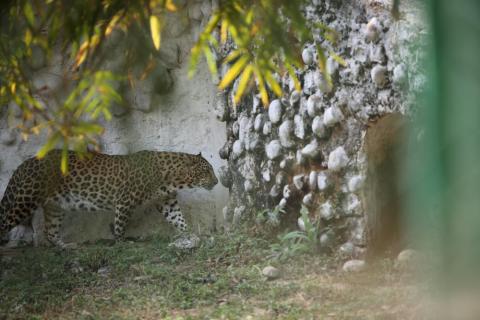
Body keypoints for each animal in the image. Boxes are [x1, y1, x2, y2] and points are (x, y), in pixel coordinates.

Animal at [0, 149, 218, 249]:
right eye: (206, 171)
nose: (216, 181)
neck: (172, 179)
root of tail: (25, 164)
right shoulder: (125, 200)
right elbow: (120, 225)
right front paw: (122, 243)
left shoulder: (167, 201)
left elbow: (178, 219)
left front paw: (191, 234)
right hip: (24, 201)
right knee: (5, 221)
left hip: (55, 206)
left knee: (50, 232)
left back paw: (66, 246)